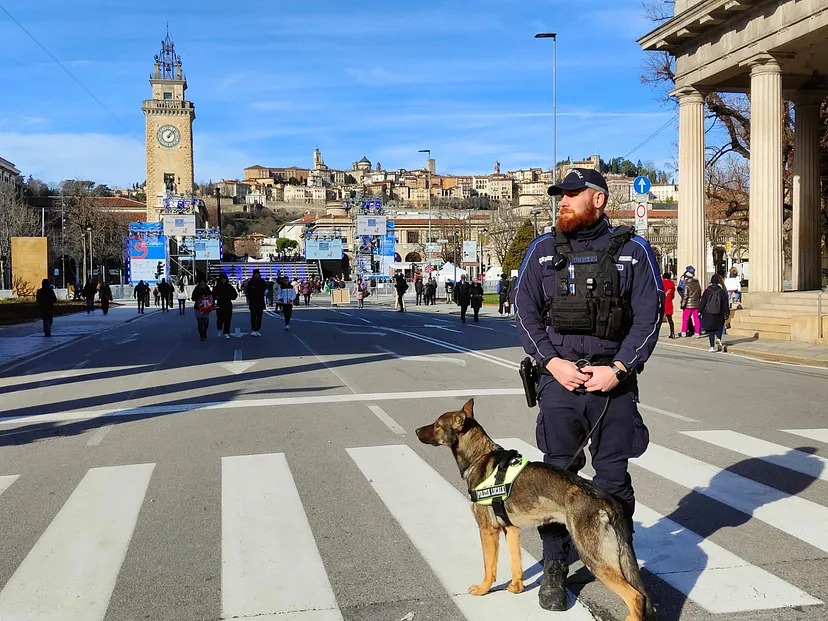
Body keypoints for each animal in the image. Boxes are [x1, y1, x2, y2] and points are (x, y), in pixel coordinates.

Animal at [414, 398, 652, 620]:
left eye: (437, 425)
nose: (416, 430)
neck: (480, 455)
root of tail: (605, 498)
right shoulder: (510, 529)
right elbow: (515, 564)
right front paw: (516, 588)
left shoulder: (487, 531)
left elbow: (489, 566)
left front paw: (483, 589)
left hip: (594, 557)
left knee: (636, 596)